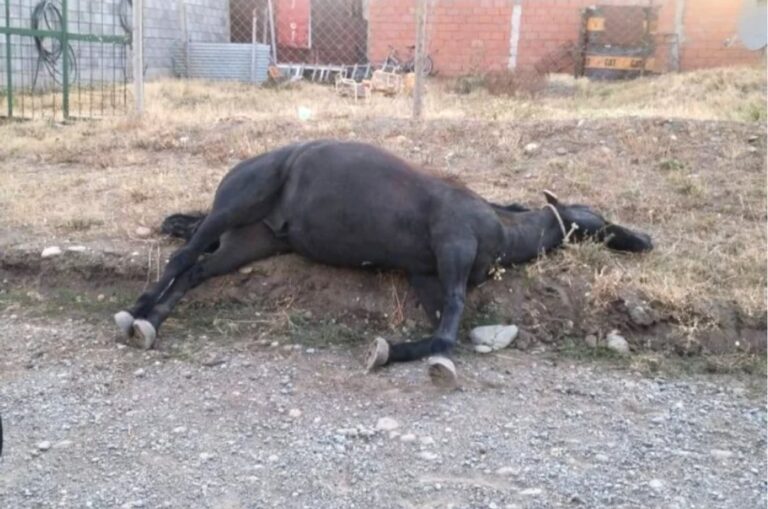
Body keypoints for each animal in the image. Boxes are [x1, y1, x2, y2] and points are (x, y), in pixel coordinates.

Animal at [114, 140, 653, 386]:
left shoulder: (428, 277)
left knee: (196, 271)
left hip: (250, 241)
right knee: (182, 256)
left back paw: (152, 322)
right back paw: (136, 310)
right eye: (600, 221)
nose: (645, 240)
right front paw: (406, 355)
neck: (497, 226)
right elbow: (447, 334)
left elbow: (440, 328)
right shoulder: (452, 249)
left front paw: (392, 350)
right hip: (235, 206)